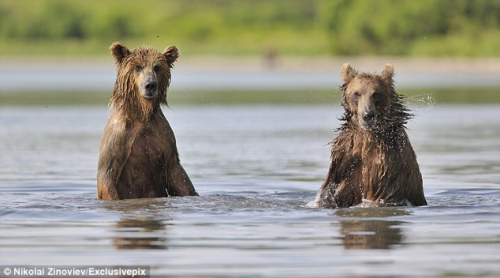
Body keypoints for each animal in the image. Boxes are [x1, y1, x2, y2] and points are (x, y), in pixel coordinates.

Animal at [96, 41, 198, 200]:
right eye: (138, 67)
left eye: (157, 67)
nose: (150, 85)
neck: (142, 114)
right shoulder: (117, 136)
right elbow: (107, 176)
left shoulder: (163, 136)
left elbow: (178, 175)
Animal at [312, 64, 426, 207]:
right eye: (357, 93)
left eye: (376, 93)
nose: (368, 115)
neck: (366, 138)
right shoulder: (345, 161)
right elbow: (330, 192)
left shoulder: (387, 165)